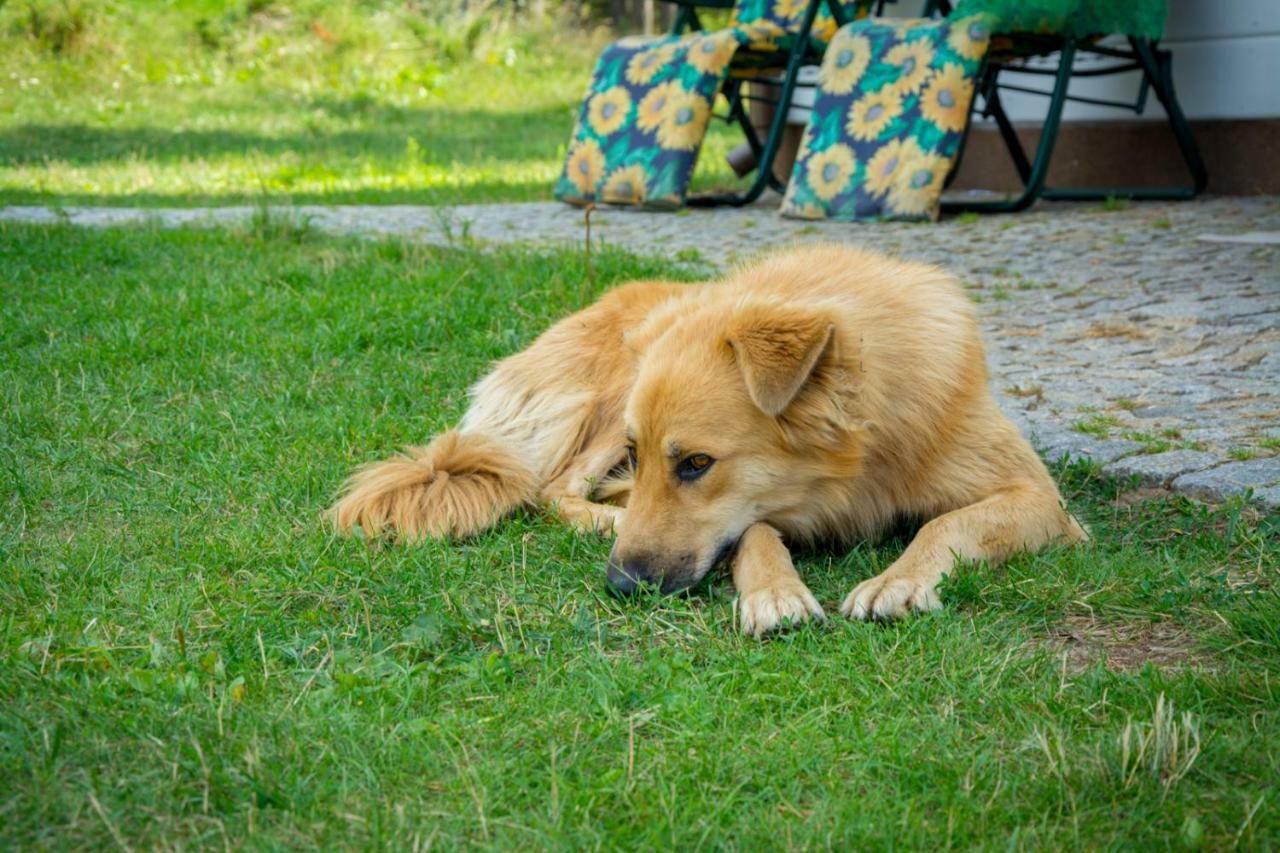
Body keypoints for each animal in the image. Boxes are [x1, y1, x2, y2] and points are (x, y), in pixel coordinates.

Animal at [330, 244, 1090, 630]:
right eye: (645, 455)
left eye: (697, 463)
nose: (620, 585)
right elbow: (750, 532)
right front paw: (773, 592)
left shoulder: (1044, 501)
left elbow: (945, 525)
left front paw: (897, 581)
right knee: (554, 490)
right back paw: (608, 518)